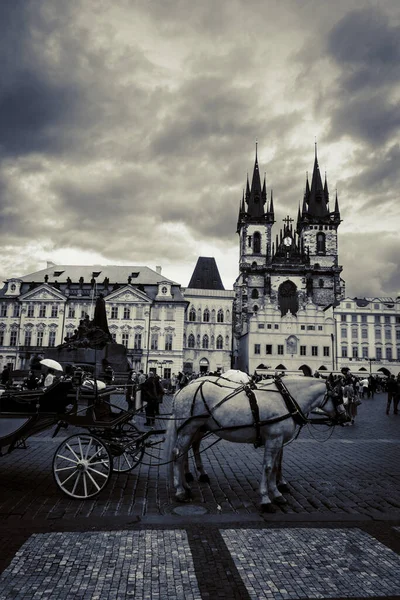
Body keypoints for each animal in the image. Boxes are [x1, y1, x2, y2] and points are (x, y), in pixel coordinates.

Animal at [166, 376, 344, 510]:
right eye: (337, 396)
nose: (346, 417)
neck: (284, 399)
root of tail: (181, 390)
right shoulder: (274, 439)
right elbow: (269, 467)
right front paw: (266, 498)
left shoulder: (278, 440)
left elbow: (275, 466)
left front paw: (277, 492)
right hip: (188, 428)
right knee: (178, 454)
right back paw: (180, 490)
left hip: (195, 428)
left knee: (187, 450)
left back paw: (188, 483)